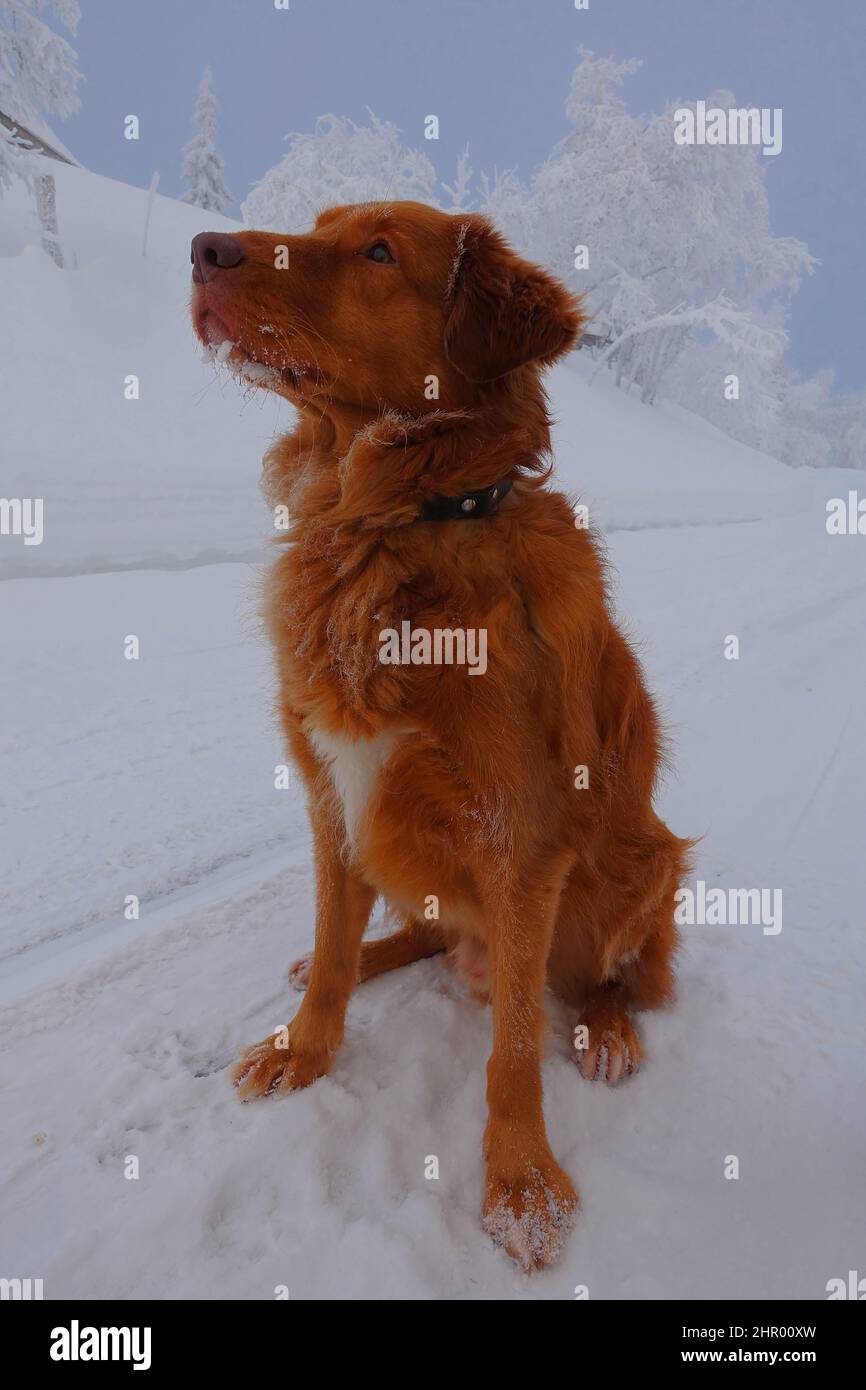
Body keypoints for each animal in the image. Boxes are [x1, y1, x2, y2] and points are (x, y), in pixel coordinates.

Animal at [193, 201, 695, 1273]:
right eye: (318, 224)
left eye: (380, 251)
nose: (203, 250)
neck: (395, 523)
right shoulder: (336, 791)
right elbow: (334, 944)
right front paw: (304, 1048)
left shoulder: (523, 837)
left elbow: (514, 1051)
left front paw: (522, 1186)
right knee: (418, 929)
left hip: (645, 859)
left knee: (623, 975)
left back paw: (607, 1030)